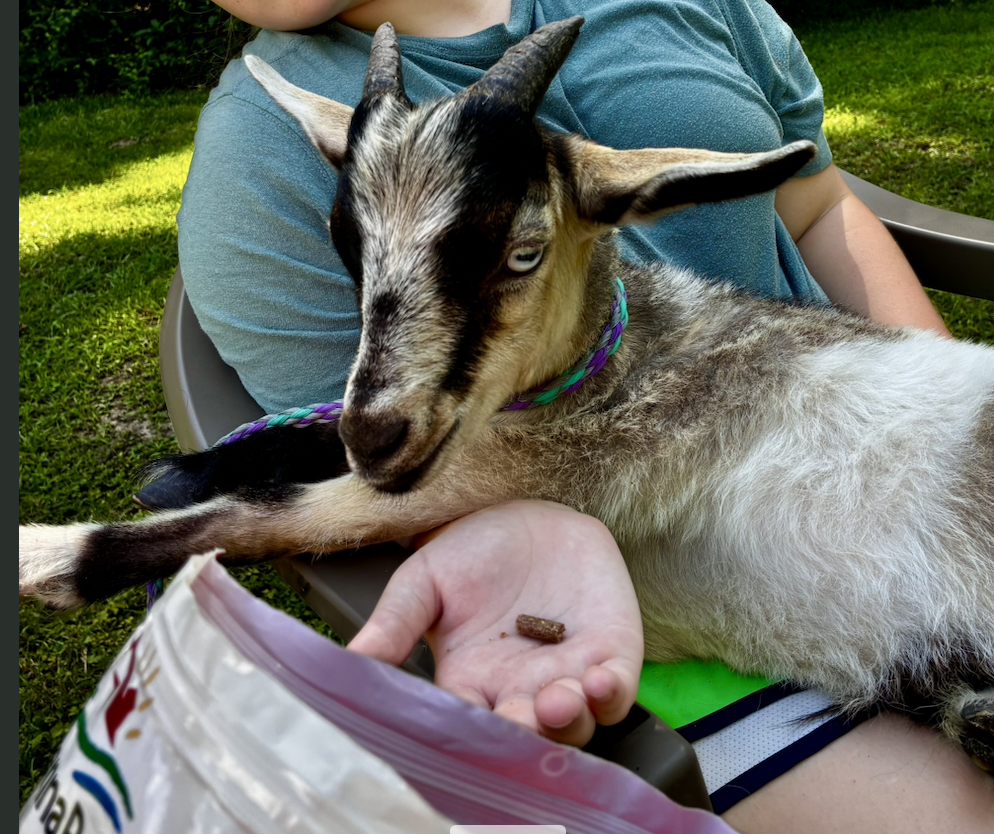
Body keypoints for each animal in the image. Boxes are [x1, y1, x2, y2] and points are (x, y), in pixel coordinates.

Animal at [19, 17, 993, 770]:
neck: (619, 368)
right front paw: (178, 469)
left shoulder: (514, 475)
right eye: (346, 245)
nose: (379, 435)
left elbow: (275, 512)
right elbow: (293, 447)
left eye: (523, 252)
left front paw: (50, 556)